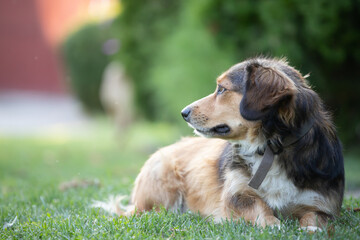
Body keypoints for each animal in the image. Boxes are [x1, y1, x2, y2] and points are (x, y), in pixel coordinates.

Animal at [100, 57, 344, 231]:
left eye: (222, 89)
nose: (183, 112)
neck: (272, 148)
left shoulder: (323, 202)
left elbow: (316, 217)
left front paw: (311, 229)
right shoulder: (236, 195)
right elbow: (259, 206)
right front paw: (272, 224)